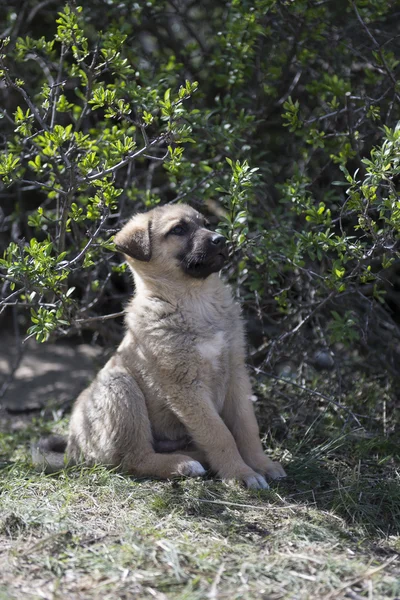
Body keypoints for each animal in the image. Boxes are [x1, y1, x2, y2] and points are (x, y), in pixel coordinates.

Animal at [33, 204, 284, 490]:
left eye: (205, 223)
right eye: (178, 229)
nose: (221, 239)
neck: (195, 301)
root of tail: (72, 450)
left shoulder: (236, 372)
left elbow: (246, 428)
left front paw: (261, 464)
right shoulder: (185, 385)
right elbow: (219, 433)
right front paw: (240, 473)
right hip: (121, 388)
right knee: (134, 458)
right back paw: (184, 464)